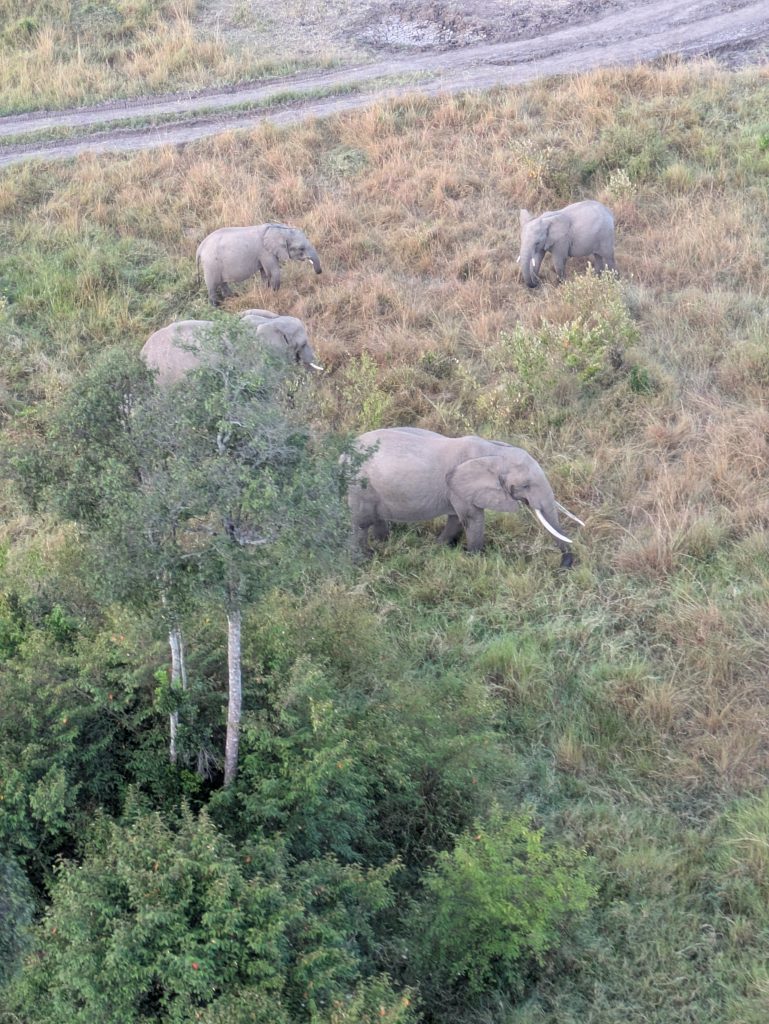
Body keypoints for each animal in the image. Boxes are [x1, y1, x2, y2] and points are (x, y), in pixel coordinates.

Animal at [345, 427, 583, 567]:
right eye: (525, 485)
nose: (565, 564)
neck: (494, 450)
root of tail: (342, 453)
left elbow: (457, 519)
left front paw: (439, 548)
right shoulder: (460, 487)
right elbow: (472, 518)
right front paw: (474, 558)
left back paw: (384, 543)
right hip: (358, 486)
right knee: (361, 522)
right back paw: (364, 558)